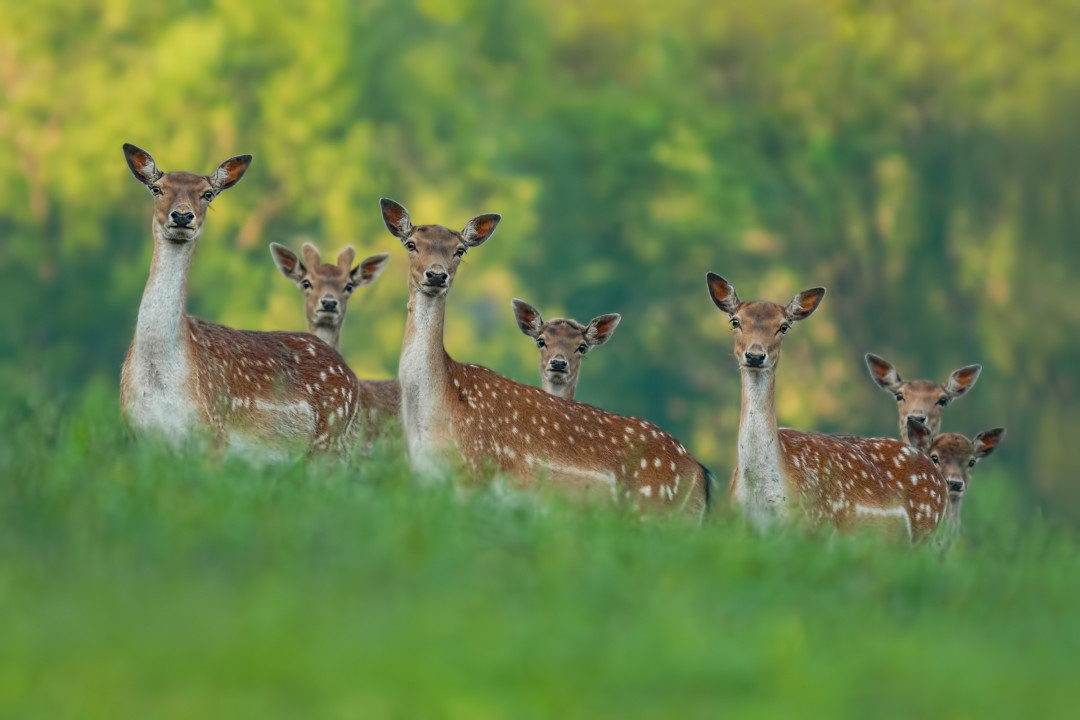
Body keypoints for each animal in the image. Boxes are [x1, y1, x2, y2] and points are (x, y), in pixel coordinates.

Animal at [120, 143, 360, 459]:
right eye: (157, 188)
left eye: (208, 193)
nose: (182, 216)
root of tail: (353, 378)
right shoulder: (138, 436)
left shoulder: (214, 434)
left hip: (329, 440)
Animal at [708, 274, 946, 539]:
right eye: (735, 321)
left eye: (784, 326)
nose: (755, 355)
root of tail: (937, 474)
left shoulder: (812, 528)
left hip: (929, 530)